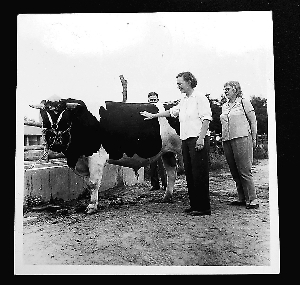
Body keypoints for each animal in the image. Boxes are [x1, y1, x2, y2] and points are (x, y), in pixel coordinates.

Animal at [29, 97, 180, 213]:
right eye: (44, 118)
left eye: (65, 119)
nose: (56, 143)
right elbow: (88, 183)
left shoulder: (96, 156)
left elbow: (93, 183)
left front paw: (91, 207)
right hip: (167, 152)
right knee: (172, 173)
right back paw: (167, 197)